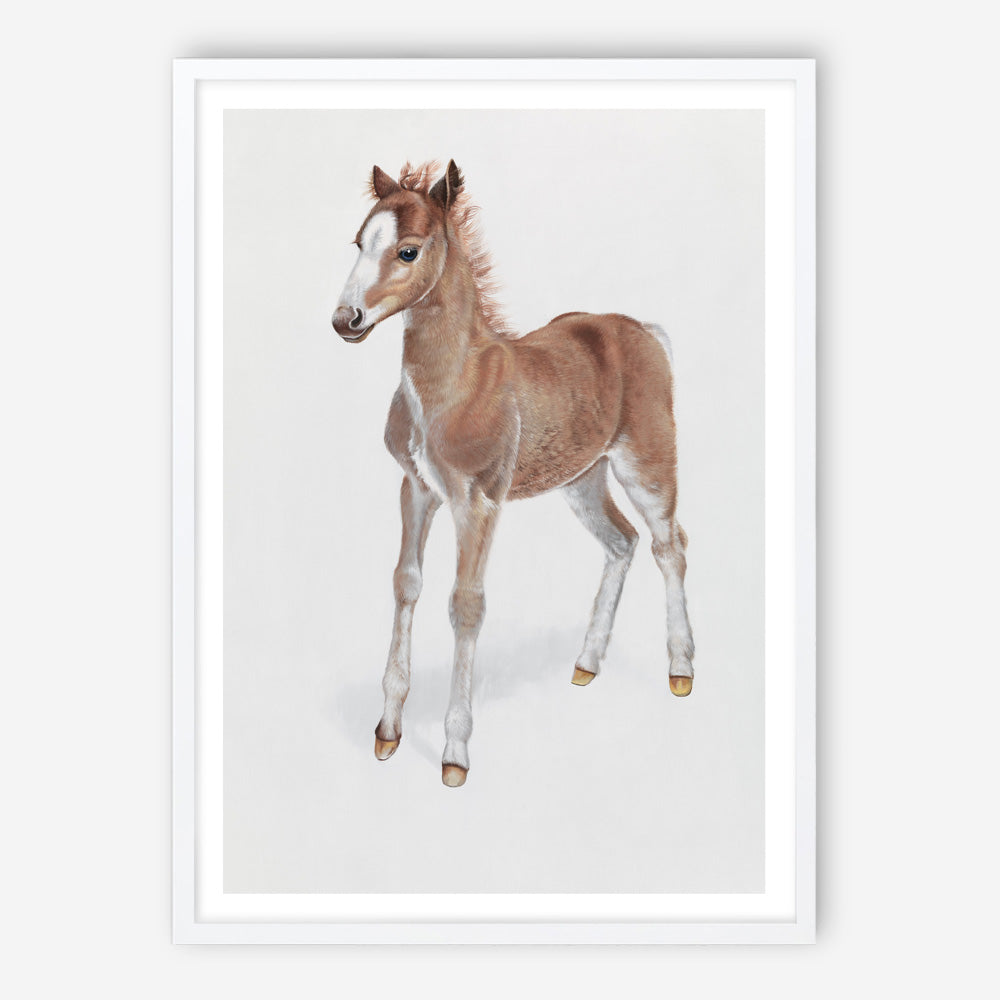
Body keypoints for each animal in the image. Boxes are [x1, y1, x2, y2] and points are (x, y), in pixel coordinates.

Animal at [332, 160, 695, 787]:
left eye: (408, 250)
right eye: (359, 242)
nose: (344, 319)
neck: (453, 384)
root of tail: (646, 330)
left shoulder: (477, 502)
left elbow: (466, 605)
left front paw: (454, 753)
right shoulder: (417, 490)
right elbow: (406, 584)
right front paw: (387, 732)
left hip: (647, 466)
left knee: (669, 545)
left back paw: (680, 670)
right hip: (582, 479)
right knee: (621, 542)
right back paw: (586, 664)